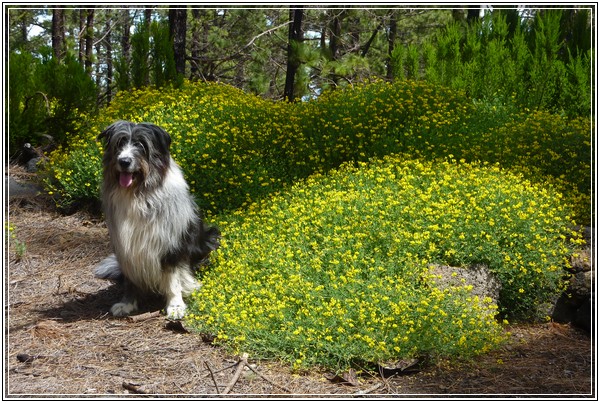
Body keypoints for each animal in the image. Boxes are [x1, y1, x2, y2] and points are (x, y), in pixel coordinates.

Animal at [95, 120, 221, 318]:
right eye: (119, 143)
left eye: (141, 144)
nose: (124, 161)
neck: (139, 194)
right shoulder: (126, 248)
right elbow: (130, 281)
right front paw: (127, 303)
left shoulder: (170, 244)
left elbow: (173, 278)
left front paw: (175, 305)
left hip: (208, 236)